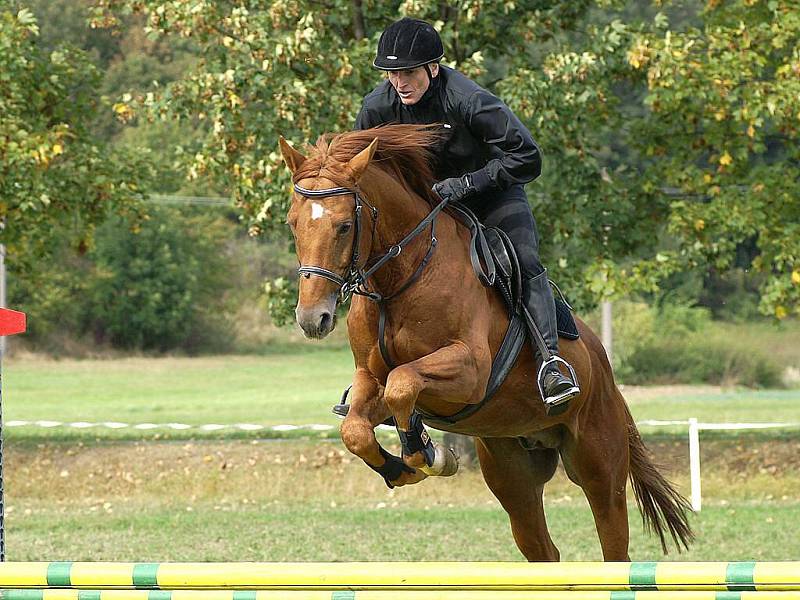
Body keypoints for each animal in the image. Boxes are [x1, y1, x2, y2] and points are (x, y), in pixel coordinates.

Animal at [278, 124, 692, 560]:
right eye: (292, 223)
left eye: (344, 225)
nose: (313, 319)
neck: (401, 278)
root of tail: (604, 368)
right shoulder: (369, 379)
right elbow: (357, 428)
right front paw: (403, 466)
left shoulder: (471, 372)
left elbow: (403, 383)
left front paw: (428, 453)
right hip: (512, 473)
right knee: (544, 550)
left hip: (600, 465)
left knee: (614, 546)